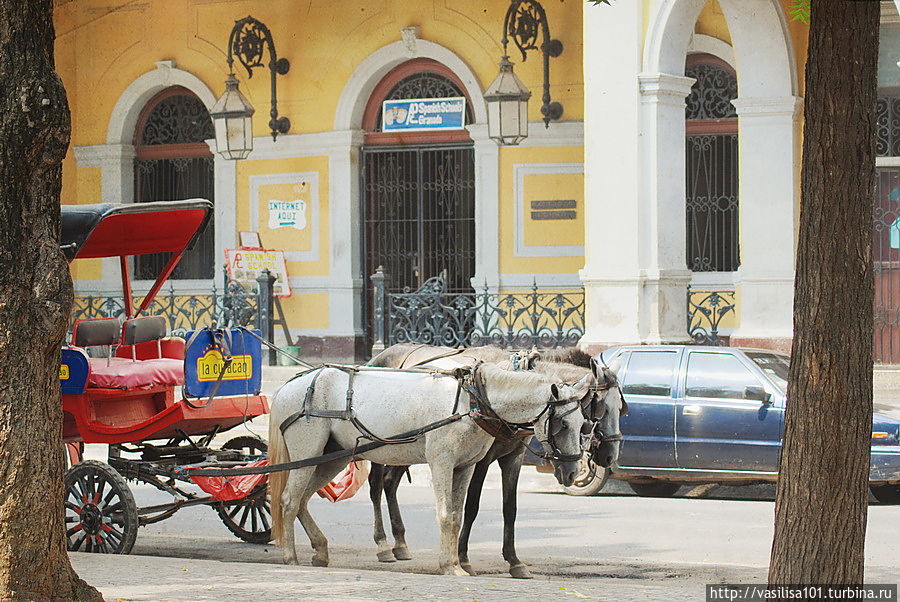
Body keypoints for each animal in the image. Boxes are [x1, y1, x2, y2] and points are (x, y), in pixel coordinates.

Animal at [268, 358, 592, 576]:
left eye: (583, 424)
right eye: (562, 424)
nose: (573, 472)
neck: (473, 401)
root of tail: (288, 386)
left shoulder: (465, 466)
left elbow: (458, 516)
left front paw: (455, 562)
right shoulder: (441, 462)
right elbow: (447, 515)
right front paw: (451, 566)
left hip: (332, 456)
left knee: (302, 500)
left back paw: (320, 550)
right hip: (308, 451)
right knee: (289, 500)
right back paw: (291, 558)